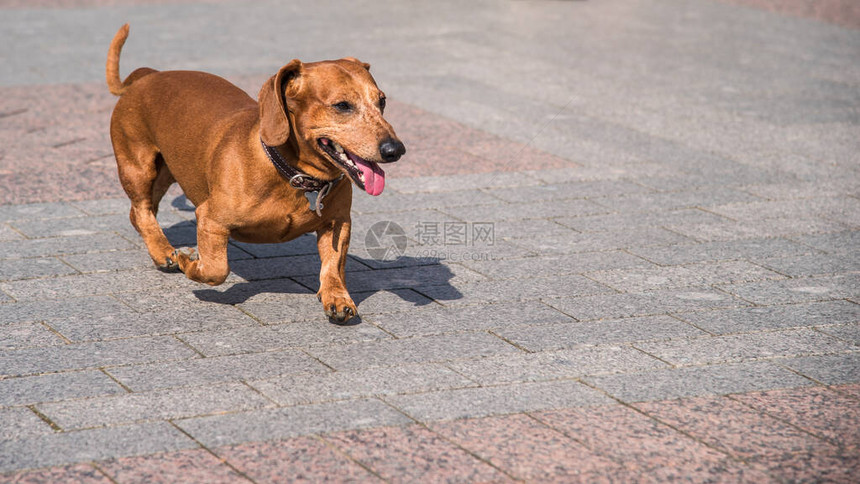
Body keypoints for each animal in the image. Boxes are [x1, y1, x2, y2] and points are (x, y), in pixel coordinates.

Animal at [106, 25, 404, 322]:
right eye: (342, 105)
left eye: (382, 101)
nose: (395, 149)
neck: (293, 175)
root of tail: (147, 75)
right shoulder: (210, 219)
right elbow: (216, 269)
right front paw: (188, 261)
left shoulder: (337, 223)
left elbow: (333, 266)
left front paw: (337, 297)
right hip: (139, 166)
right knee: (142, 210)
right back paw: (163, 251)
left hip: (167, 169)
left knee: (141, 211)